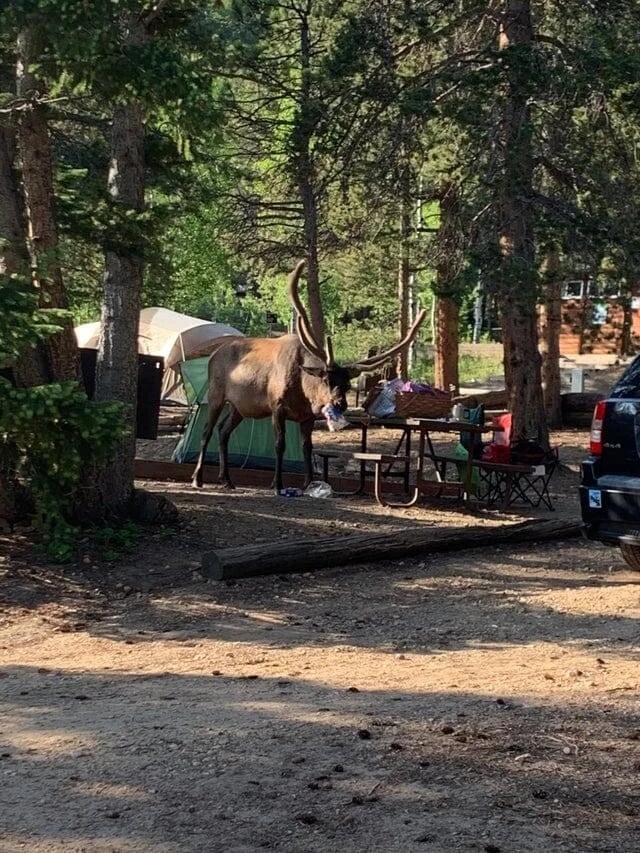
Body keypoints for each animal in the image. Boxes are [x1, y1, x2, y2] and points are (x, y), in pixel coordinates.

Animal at [192, 260, 428, 492]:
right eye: (326, 379)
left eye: (348, 385)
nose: (340, 403)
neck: (303, 391)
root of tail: (214, 354)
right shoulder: (277, 406)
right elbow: (280, 445)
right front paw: (277, 484)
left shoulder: (307, 417)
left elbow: (308, 447)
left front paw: (308, 483)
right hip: (216, 394)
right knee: (206, 432)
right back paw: (198, 478)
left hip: (240, 408)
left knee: (223, 431)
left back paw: (226, 479)